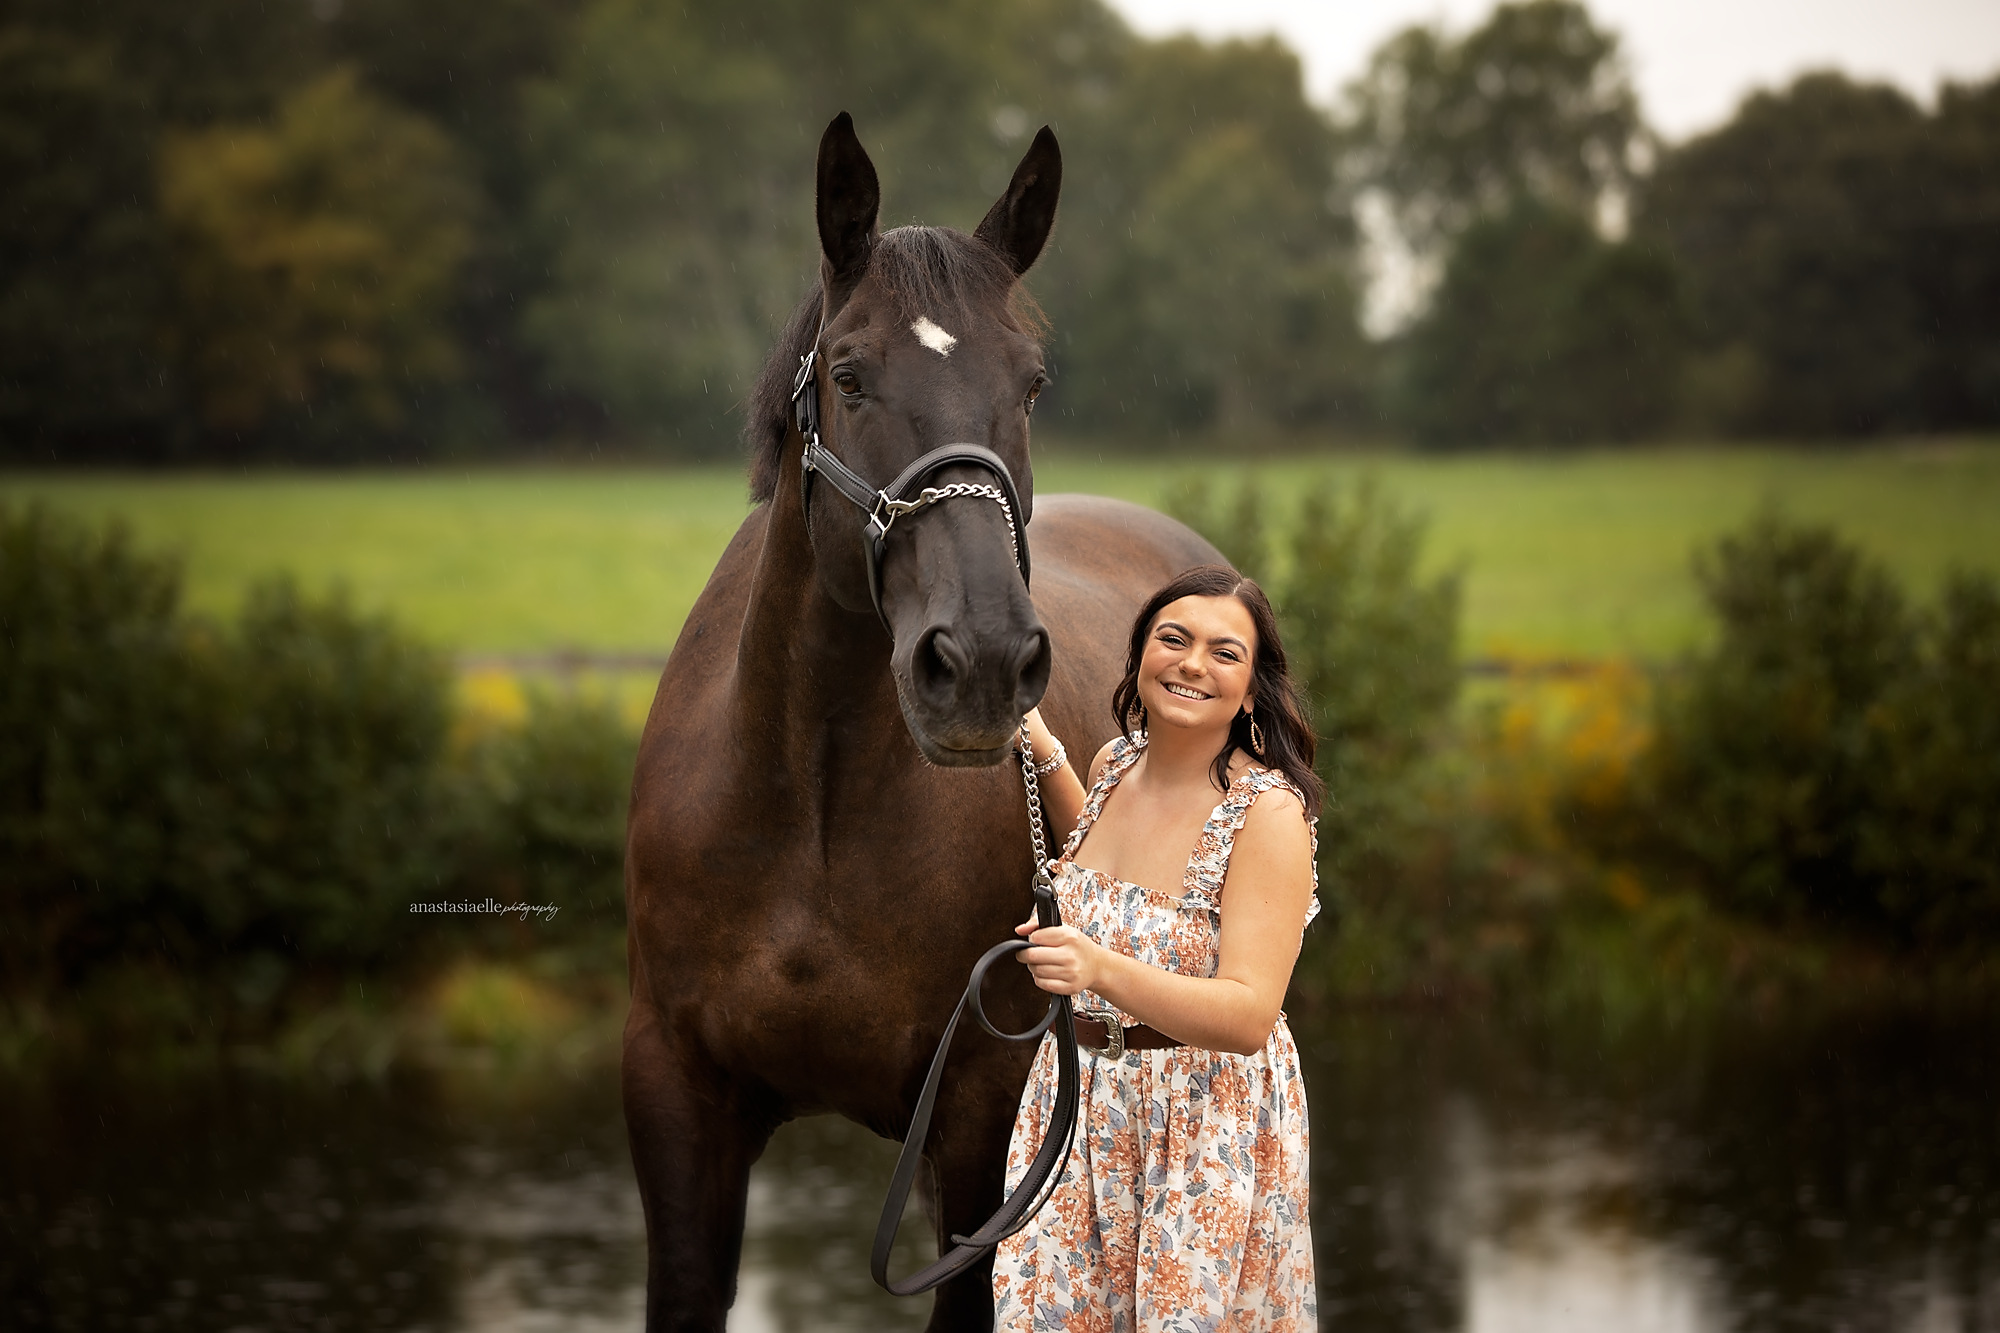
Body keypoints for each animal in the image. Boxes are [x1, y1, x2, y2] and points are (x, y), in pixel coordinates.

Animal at [623, 111, 1220, 1331]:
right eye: (849, 374)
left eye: (1030, 384)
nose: (982, 662)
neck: (805, 812)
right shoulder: (676, 1098)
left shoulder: (981, 1120)